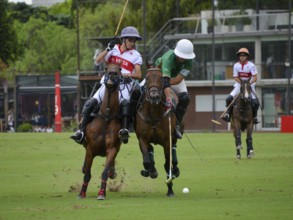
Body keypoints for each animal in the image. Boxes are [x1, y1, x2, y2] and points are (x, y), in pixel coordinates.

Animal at [77, 62, 122, 200]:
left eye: (119, 69)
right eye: (106, 68)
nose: (112, 75)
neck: (106, 116)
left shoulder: (112, 149)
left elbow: (105, 172)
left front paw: (102, 193)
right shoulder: (90, 149)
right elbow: (87, 174)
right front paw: (82, 193)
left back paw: (112, 172)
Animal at [133, 68, 178, 197]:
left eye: (161, 78)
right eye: (147, 78)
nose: (154, 96)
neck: (153, 114)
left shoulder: (167, 140)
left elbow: (167, 163)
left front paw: (170, 189)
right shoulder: (142, 138)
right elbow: (147, 160)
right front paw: (151, 171)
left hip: (174, 135)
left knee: (174, 150)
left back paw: (175, 170)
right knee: (150, 150)